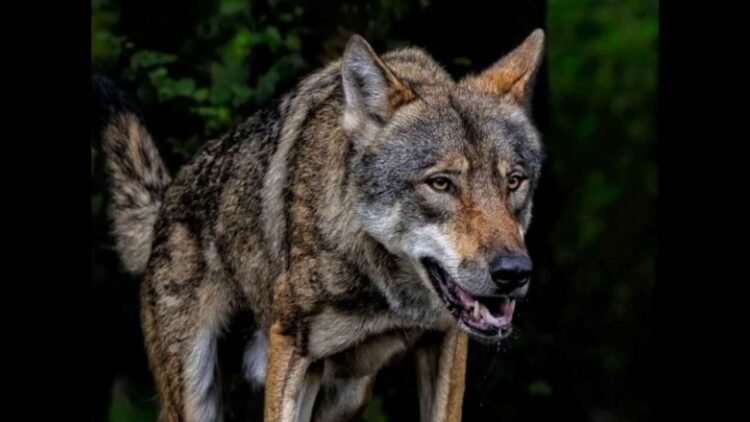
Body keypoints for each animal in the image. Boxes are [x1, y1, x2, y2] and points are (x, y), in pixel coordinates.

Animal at [94, 28, 545, 422]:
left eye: (514, 182)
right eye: (441, 183)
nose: (513, 273)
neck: (386, 291)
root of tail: (166, 201)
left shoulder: (446, 343)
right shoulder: (290, 349)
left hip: (347, 395)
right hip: (194, 396)